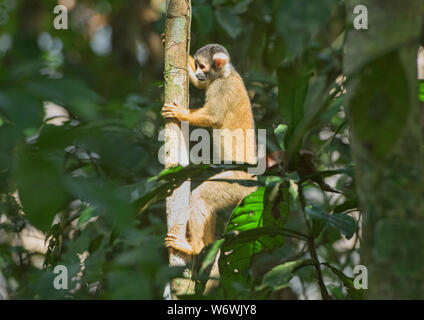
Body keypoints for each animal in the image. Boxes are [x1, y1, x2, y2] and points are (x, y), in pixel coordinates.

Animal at [161, 45, 255, 256]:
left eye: (202, 66)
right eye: (197, 65)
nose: (198, 72)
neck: (225, 74)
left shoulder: (221, 87)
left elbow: (213, 117)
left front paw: (181, 113)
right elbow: (201, 86)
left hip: (238, 183)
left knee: (201, 197)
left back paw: (193, 248)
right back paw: (206, 245)